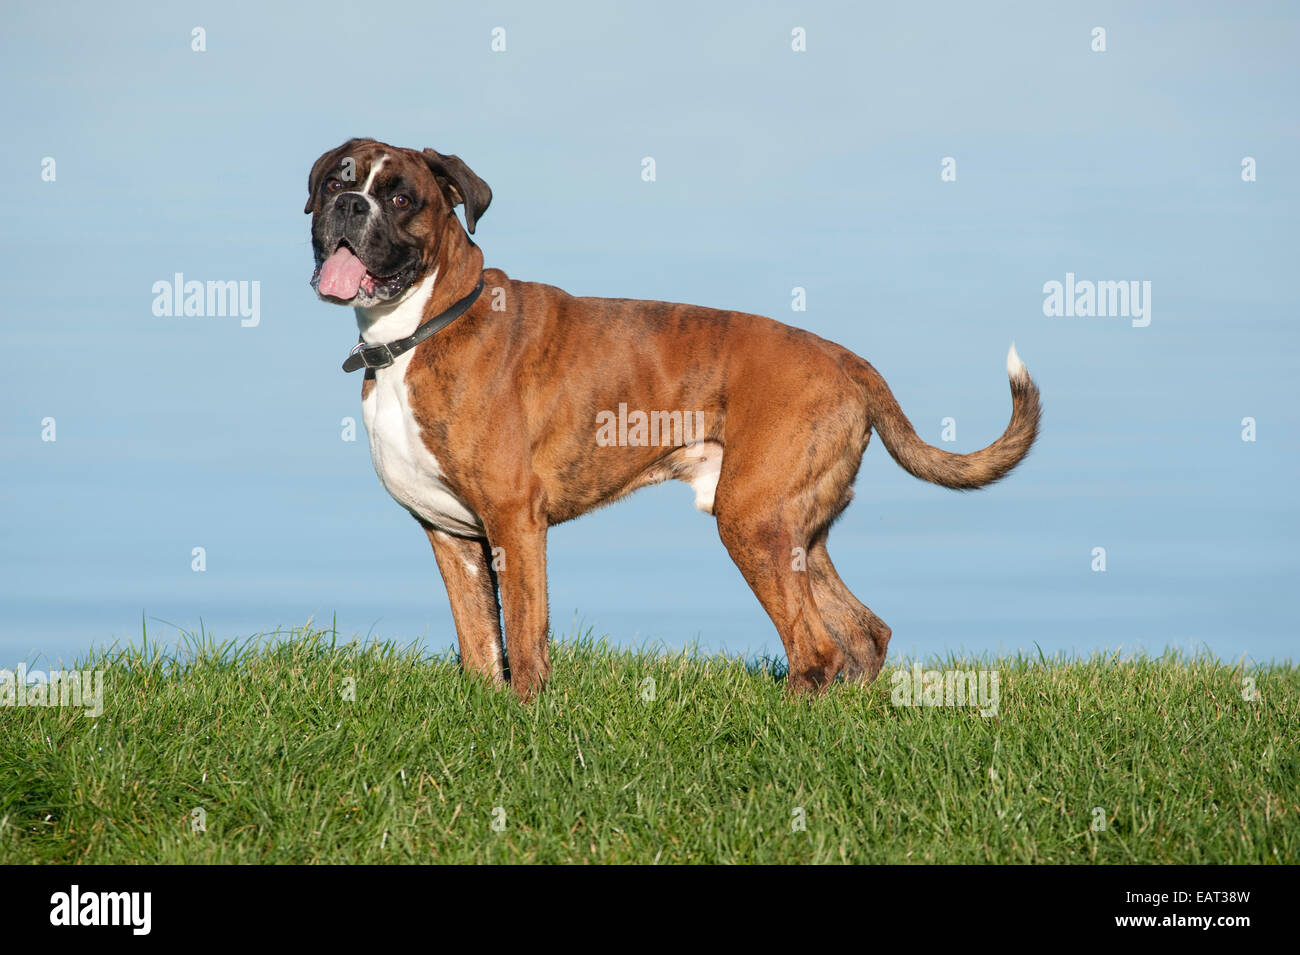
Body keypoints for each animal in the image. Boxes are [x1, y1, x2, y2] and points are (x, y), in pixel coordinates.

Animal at [301, 136, 1034, 701]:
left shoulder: (514, 522)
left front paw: (525, 716)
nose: (349, 204)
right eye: (337, 179)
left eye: (402, 199)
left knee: (816, 649)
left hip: (753, 523)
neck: (418, 329)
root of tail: (849, 361)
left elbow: (527, 641)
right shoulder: (452, 536)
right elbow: (481, 644)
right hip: (794, 528)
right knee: (863, 633)